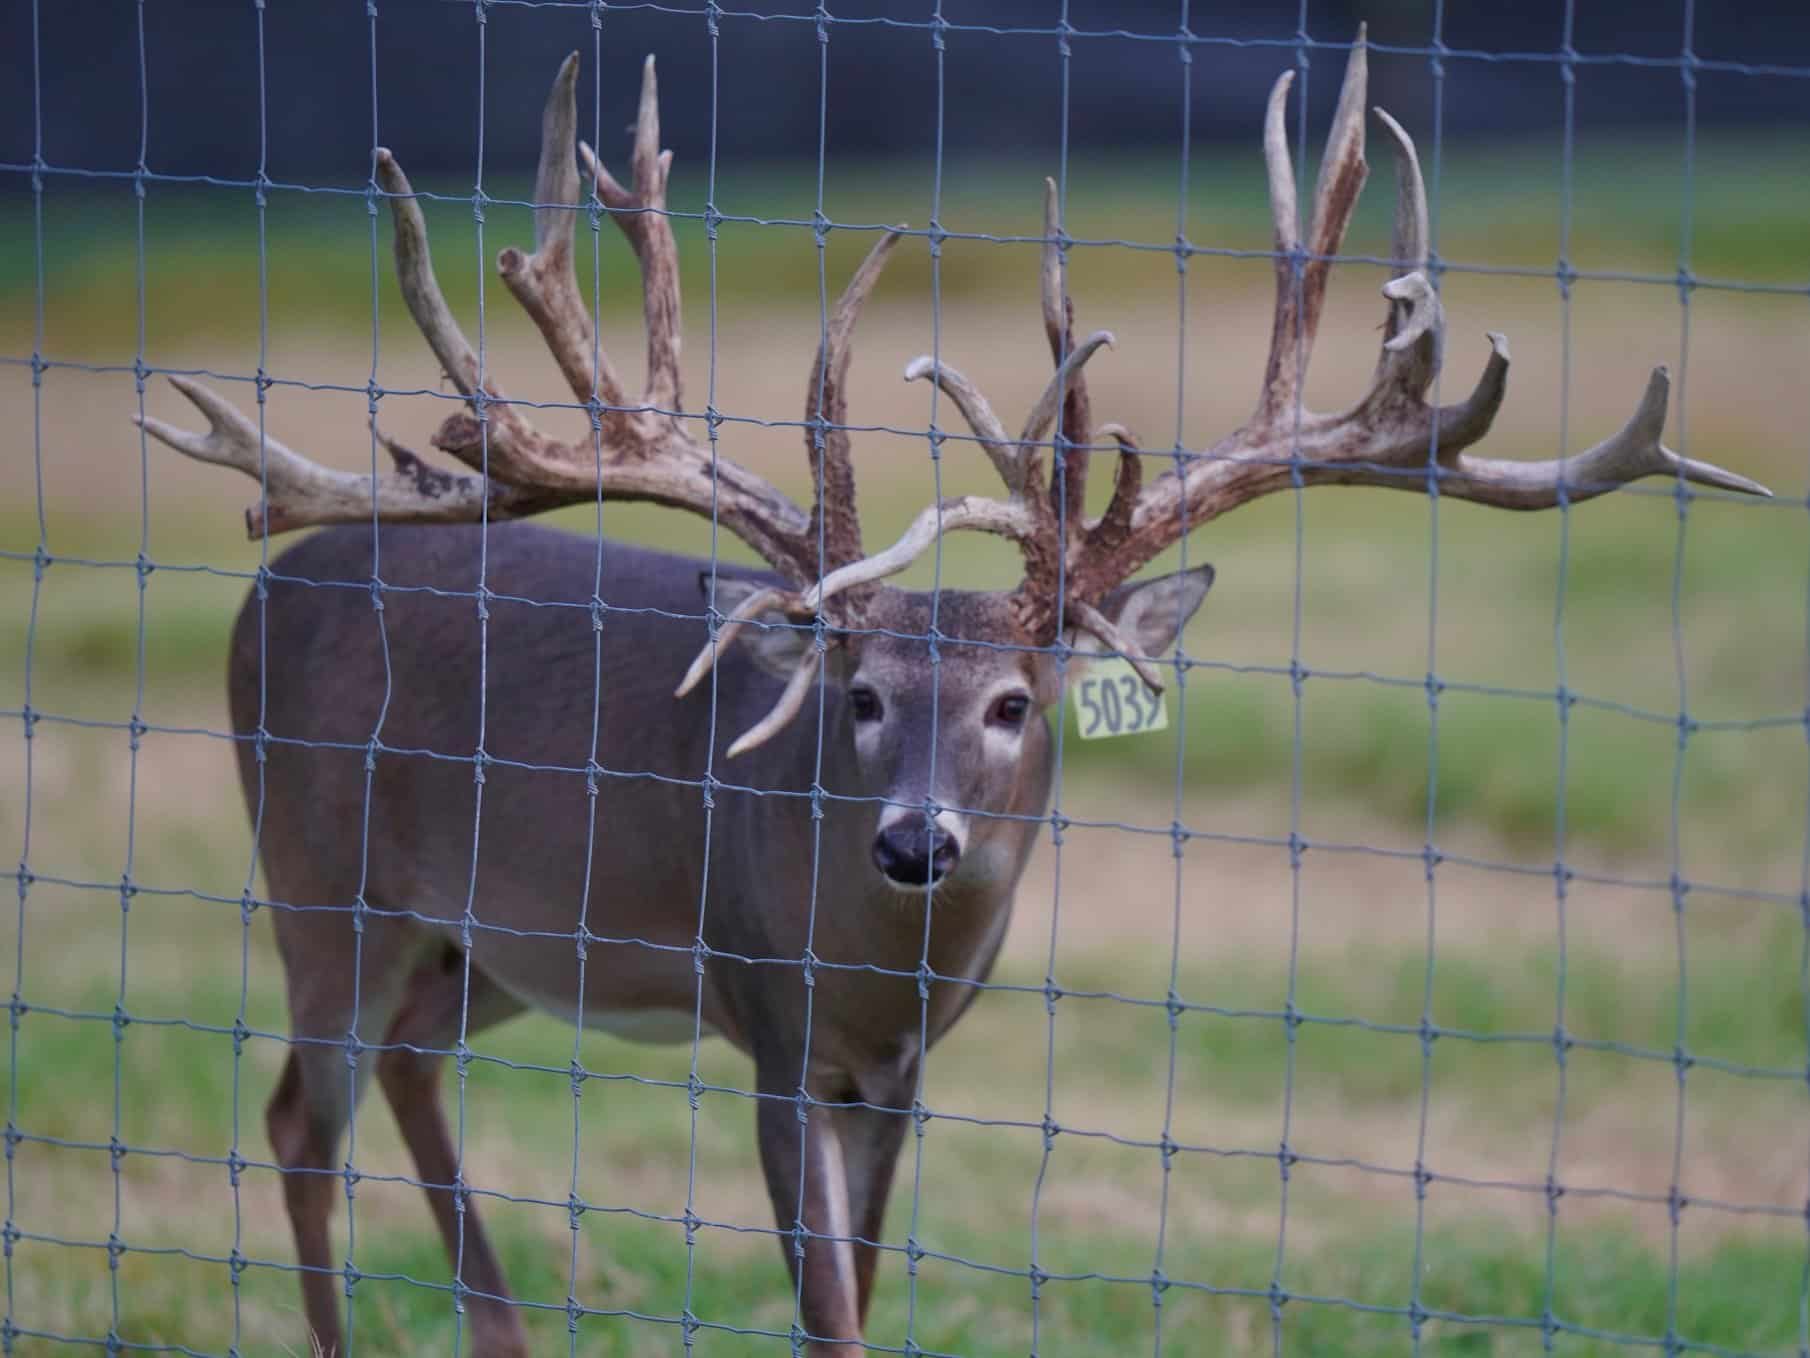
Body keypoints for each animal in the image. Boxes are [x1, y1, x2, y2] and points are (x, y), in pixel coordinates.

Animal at [135, 31, 1767, 1358]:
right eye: (856, 693)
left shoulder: (903, 1067)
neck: (878, 962)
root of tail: (274, 585)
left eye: (1013, 703)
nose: (914, 839)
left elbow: (865, 1281)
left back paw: (500, 1328)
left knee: (404, 1062)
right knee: (300, 1114)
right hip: (322, 878)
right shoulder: (770, 1016)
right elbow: (827, 1311)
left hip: (485, 937)